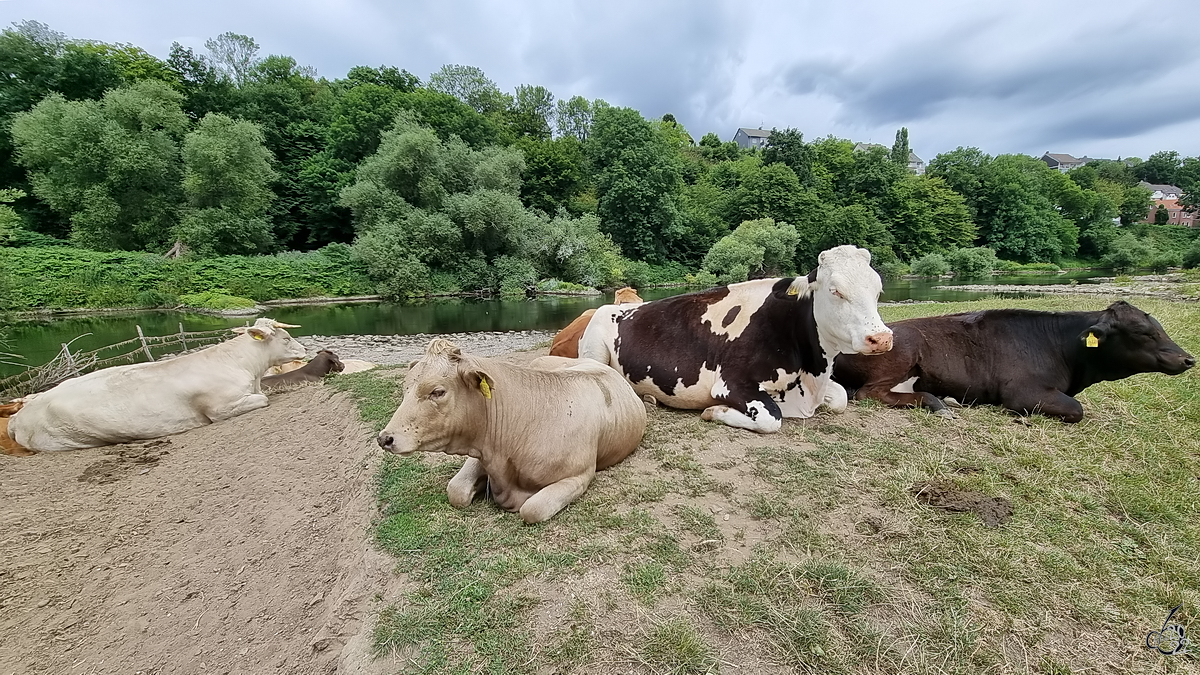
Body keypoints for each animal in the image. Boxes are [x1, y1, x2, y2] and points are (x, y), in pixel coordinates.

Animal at [8, 317, 309, 451]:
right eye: (285, 339)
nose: (305, 349)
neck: (247, 368)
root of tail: (19, 416)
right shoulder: (221, 408)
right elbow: (264, 399)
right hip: (65, 441)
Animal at [379, 338, 648, 523]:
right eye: (404, 388)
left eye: (437, 391)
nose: (385, 438)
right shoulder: (483, 450)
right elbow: (456, 491)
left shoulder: (580, 475)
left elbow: (532, 510)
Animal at [576, 246, 897, 429]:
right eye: (835, 290)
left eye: (878, 289)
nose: (881, 338)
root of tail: (616, 307)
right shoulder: (732, 382)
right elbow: (771, 418)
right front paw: (713, 411)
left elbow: (841, 397)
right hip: (594, 351)